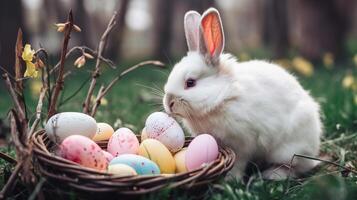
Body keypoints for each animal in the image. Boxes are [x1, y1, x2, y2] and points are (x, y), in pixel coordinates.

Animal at [163, 7, 322, 180]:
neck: (223, 96)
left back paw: (273, 174)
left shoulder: (242, 142)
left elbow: (238, 161)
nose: (169, 103)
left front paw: (231, 178)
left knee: (295, 167)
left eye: (190, 83)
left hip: (287, 150)